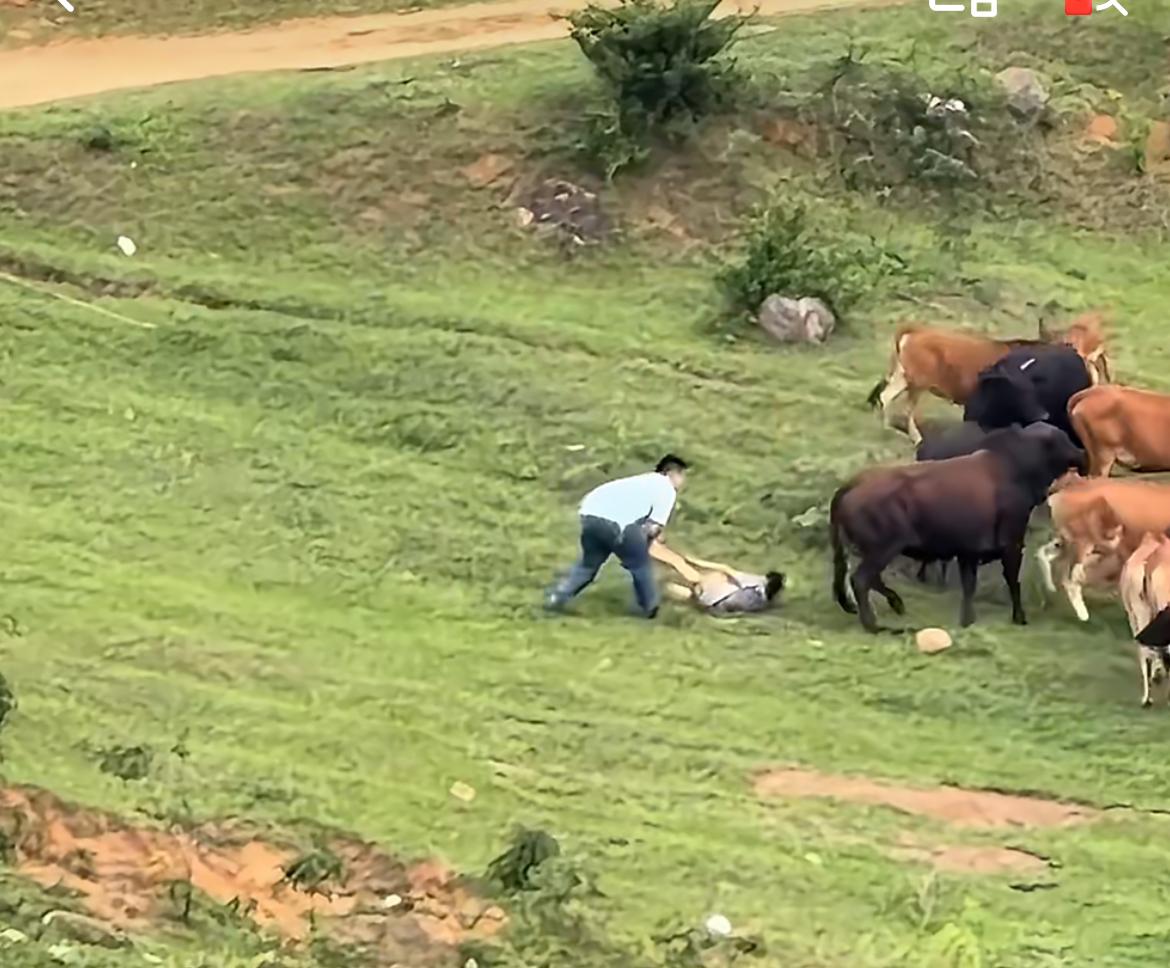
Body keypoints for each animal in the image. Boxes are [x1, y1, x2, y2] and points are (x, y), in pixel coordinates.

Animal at [830, 423, 1085, 632]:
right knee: (861, 579)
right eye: (1064, 440)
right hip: (883, 548)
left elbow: (969, 586)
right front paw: (1019, 618)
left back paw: (895, 604)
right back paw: (872, 624)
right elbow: (1012, 581)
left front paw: (967, 621)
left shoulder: (969, 552)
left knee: (867, 578)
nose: (1081, 453)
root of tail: (851, 484)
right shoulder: (1011, 544)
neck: (1013, 467)